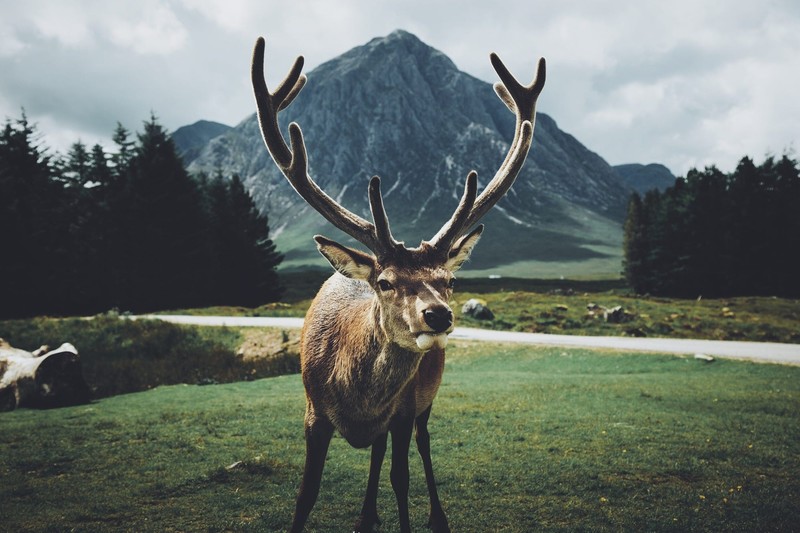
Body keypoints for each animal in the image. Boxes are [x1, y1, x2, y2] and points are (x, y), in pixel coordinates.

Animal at [251, 36, 545, 533]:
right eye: (385, 282)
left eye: (449, 280)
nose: (438, 314)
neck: (357, 399)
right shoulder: (313, 411)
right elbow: (306, 494)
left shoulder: (404, 409)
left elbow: (401, 480)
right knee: (376, 455)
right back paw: (367, 515)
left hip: (426, 398)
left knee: (417, 446)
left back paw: (433, 515)